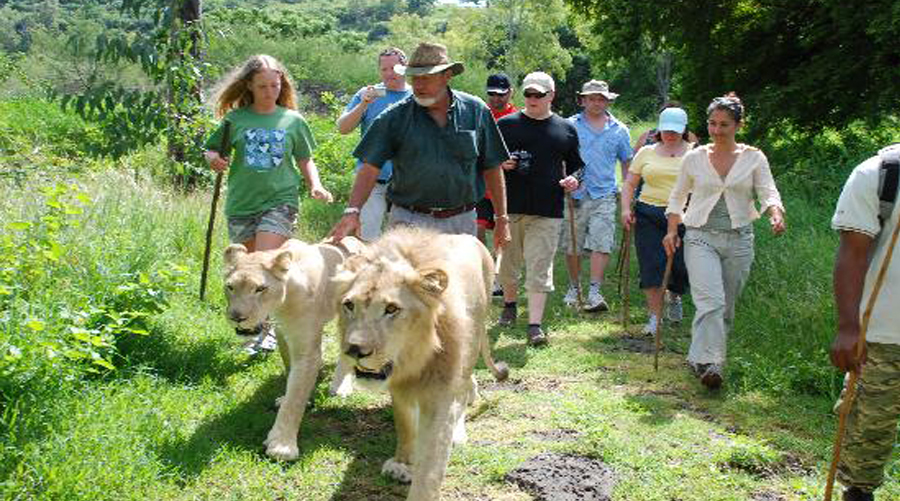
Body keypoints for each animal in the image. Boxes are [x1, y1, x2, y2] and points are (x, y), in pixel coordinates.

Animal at [223, 236, 365, 461]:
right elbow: (291, 371)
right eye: (230, 287)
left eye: (260, 289)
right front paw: (291, 397)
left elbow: (295, 398)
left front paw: (282, 445)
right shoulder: (283, 333)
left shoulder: (307, 350)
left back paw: (340, 386)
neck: (283, 303)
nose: (237, 317)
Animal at [334, 227, 509, 501]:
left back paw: (458, 430)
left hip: (473, 337)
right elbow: (405, 424)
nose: (354, 350)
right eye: (349, 305)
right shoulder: (400, 387)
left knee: (464, 391)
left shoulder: (440, 393)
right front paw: (402, 464)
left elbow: (430, 465)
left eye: (391, 309)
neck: (415, 360)